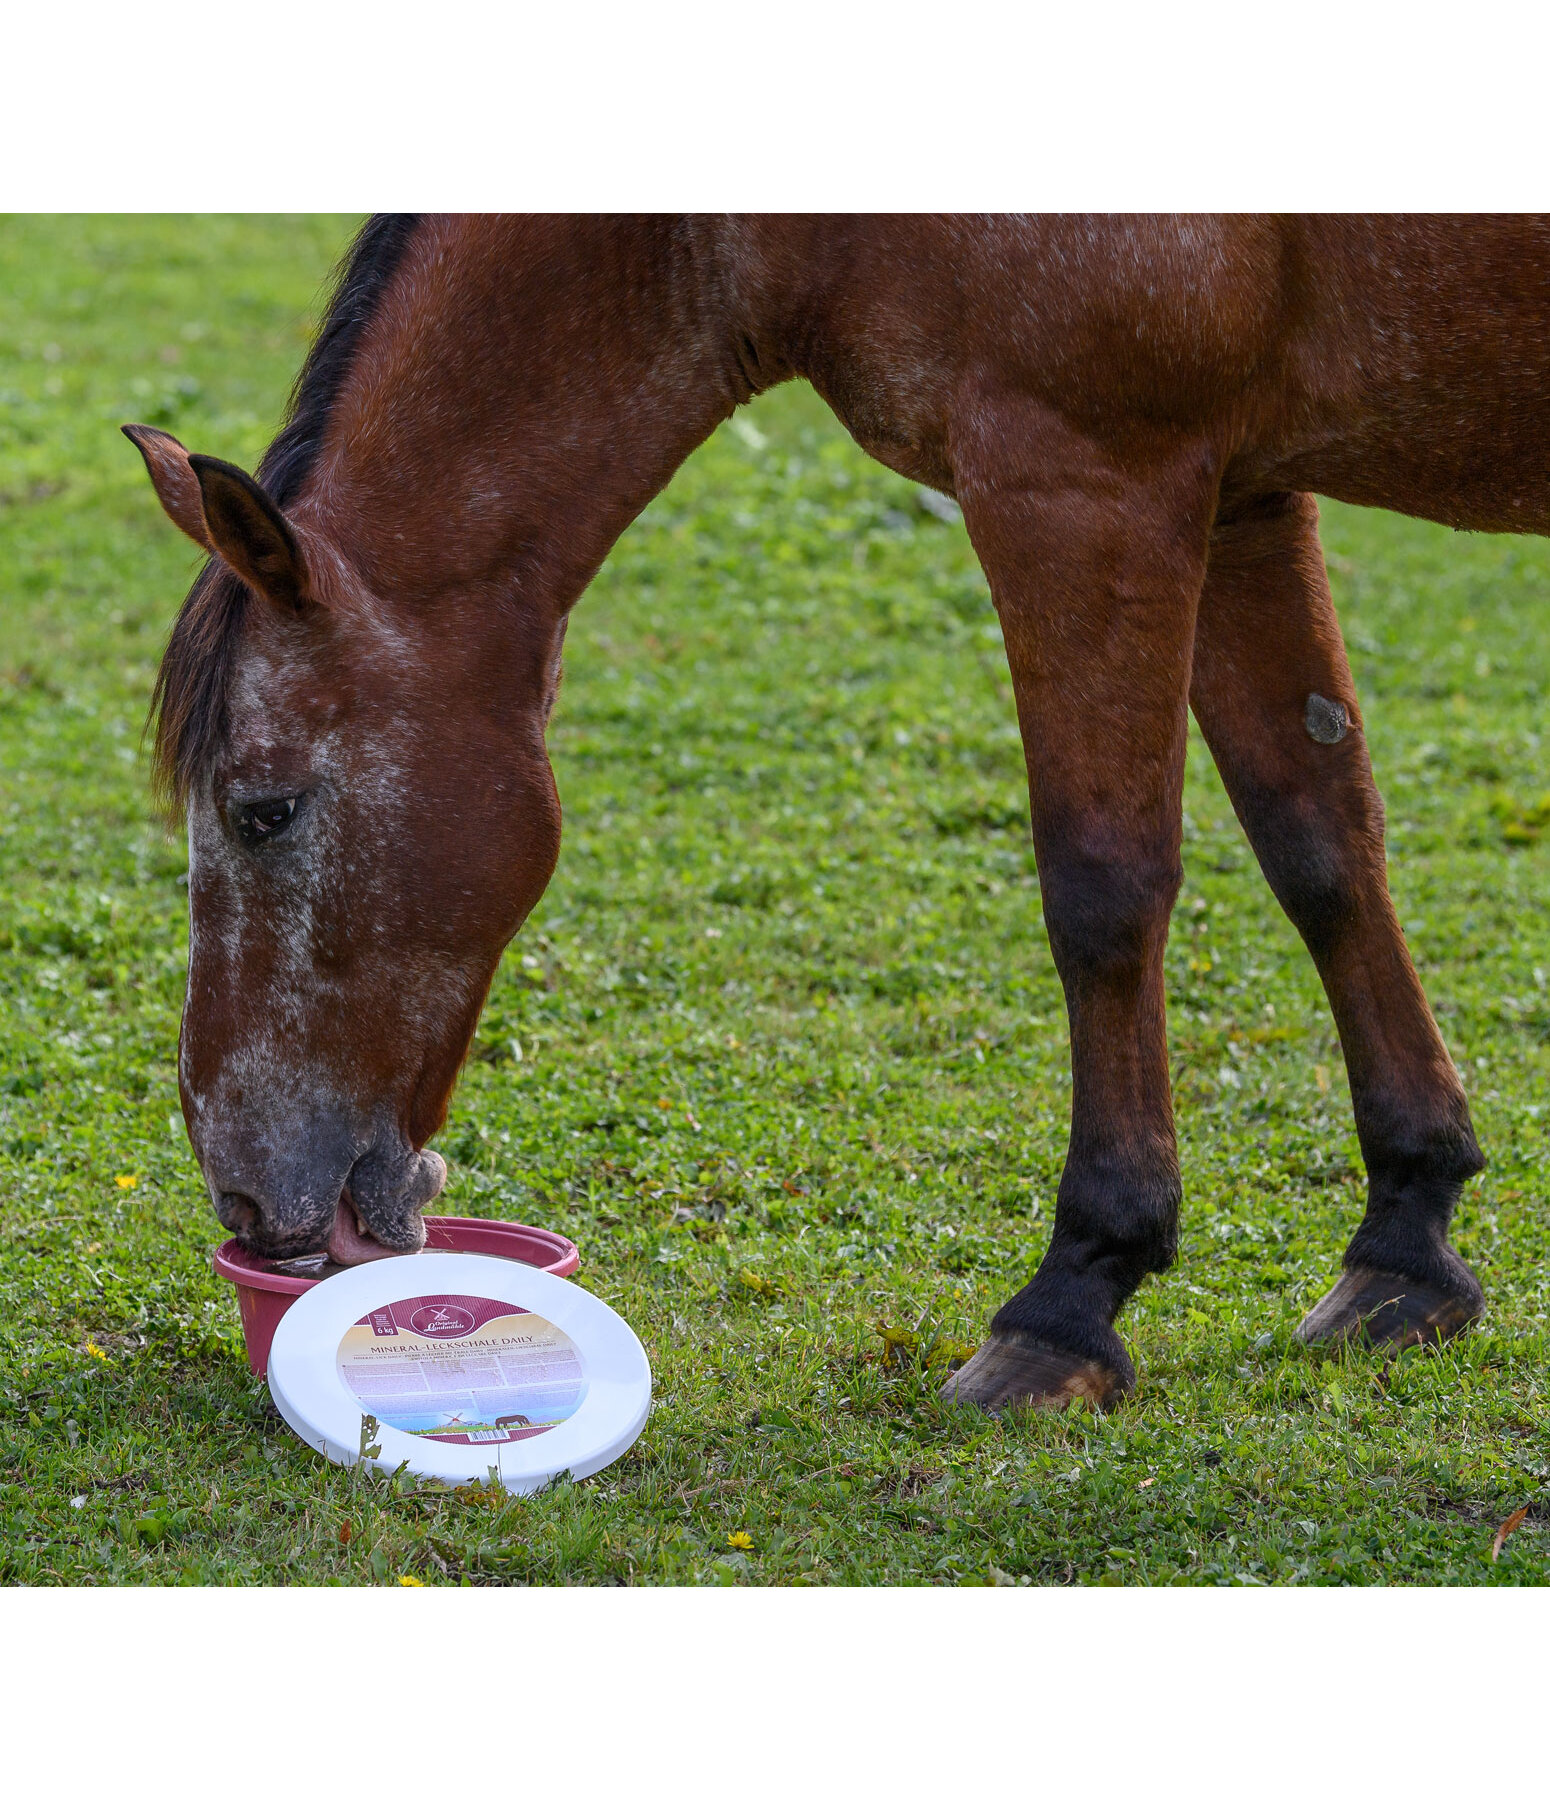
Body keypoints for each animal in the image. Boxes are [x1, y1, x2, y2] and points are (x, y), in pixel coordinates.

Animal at [124, 214, 1548, 1418]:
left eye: (262, 812)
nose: (244, 1194)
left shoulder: (1084, 481)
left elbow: (1102, 888)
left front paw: (1072, 1296)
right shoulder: (1244, 488)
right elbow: (1321, 842)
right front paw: (1406, 1242)